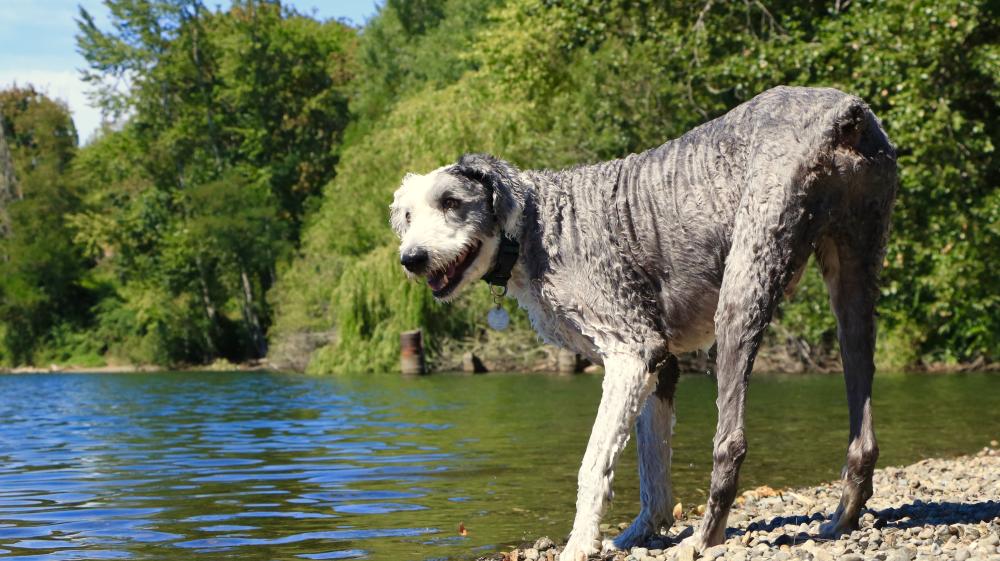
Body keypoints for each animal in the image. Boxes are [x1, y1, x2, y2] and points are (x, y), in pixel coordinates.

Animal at [386, 85, 896, 556]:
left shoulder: (630, 350)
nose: (411, 258)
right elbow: (653, 467)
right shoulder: (661, 363)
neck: (537, 223)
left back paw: (704, 539)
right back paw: (841, 519)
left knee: (730, 443)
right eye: (407, 214)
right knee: (863, 433)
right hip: (854, 284)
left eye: (451, 202)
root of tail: (844, 115)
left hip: (743, 289)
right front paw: (637, 534)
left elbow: (594, 462)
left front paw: (580, 544)